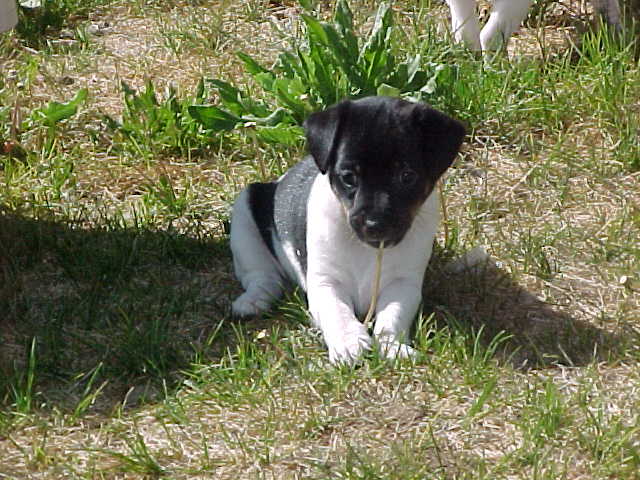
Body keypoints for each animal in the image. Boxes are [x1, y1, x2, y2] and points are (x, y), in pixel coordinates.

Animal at [230, 95, 464, 362]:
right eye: (349, 177)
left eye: (406, 176)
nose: (374, 224)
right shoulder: (325, 284)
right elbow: (338, 312)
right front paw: (349, 344)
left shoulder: (403, 284)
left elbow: (393, 315)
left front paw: (392, 345)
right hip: (244, 215)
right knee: (262, 276)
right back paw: (254, 301)